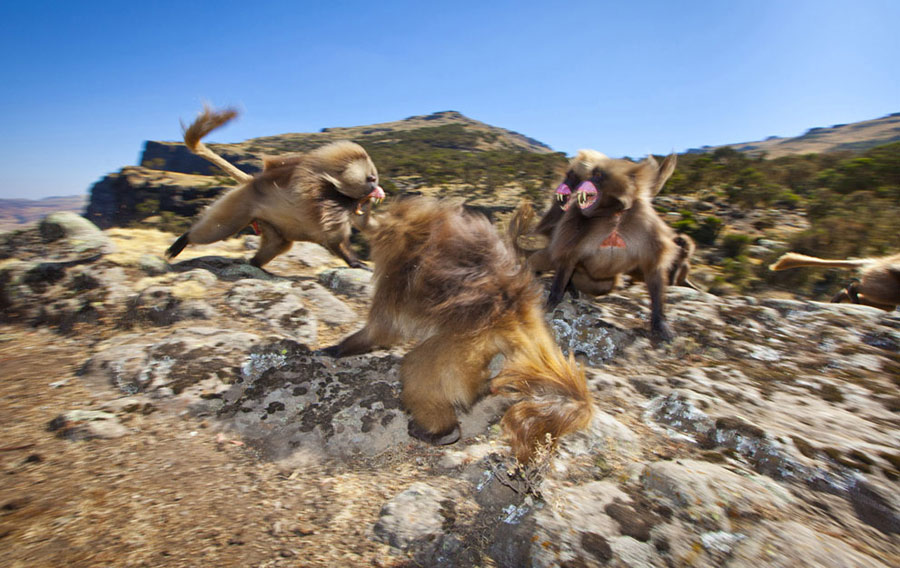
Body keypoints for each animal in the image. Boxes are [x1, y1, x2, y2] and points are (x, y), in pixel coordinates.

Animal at [167, 107, 384, 270]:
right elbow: (335, 239)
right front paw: (356, 263)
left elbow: (366, 226)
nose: (378, 189)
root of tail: (252, 182)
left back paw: (254, 265)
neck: (336, 188)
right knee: (217, 230)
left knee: (278, 244)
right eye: (371, 179)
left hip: (268, 222)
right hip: (240, 204)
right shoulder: (329, 203)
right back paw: (184, 240)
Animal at [322, 197, 592, 464]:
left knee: (418, 368)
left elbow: (383, 330)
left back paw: (442, 431)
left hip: (464, 347)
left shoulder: (396, 276)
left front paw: (339, 348)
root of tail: (513, 316)